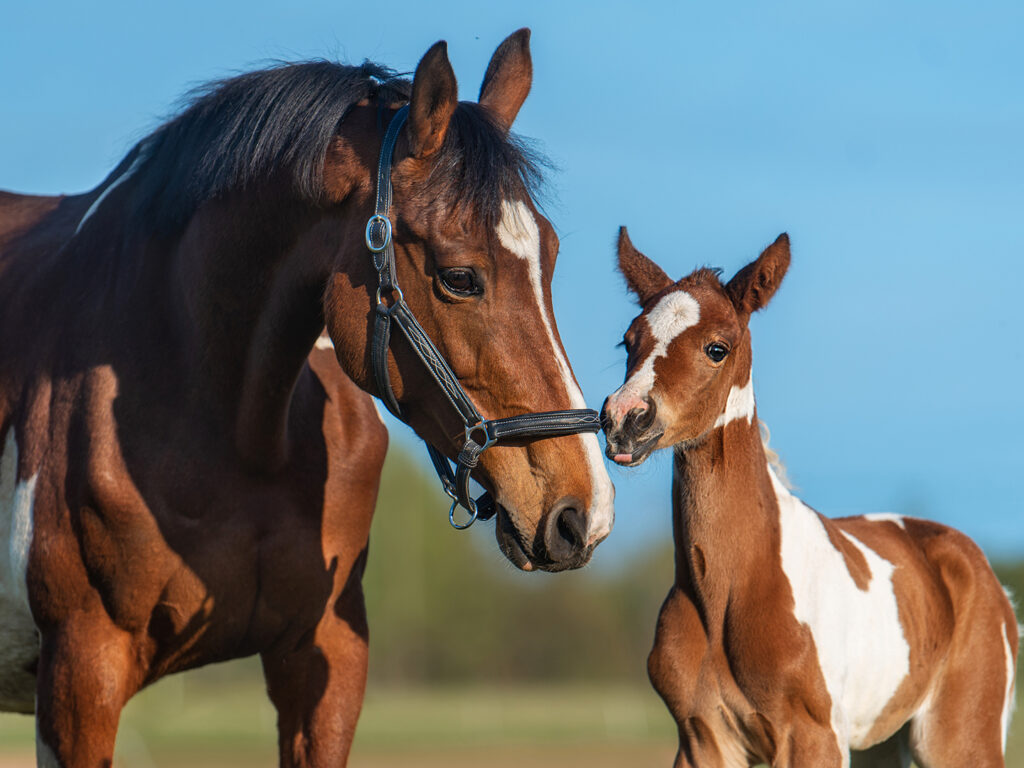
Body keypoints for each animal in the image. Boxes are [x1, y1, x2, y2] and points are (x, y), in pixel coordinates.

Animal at [0, 30, 610, 768]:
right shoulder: (80, 674)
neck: (240, 434)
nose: (583, 514)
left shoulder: (324, 658)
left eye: (548, 257)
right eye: (460, 277)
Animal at [602, 228, 1011, 768]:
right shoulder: (701, 737)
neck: (732, 586)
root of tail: (985, 574)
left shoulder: (813, 738)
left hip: (961, 738)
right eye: (627, 341)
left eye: (717, 348)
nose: (625, 418)